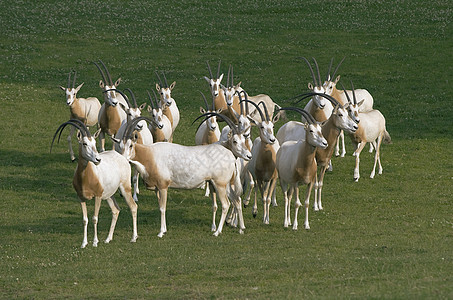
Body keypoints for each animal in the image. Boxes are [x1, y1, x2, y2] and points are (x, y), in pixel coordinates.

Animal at [50, 118, 137, 247]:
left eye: (95, 143)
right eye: (84, 143)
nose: (98, 159)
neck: (87, 177)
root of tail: (121, 157)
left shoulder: (97, 196)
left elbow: (95, 218)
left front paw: (95, 242)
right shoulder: (81, 198)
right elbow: (85, 219)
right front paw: (84, 243)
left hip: (124, 189)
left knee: (133, 207)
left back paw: (133, 238)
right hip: (108, 195)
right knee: (116, 210)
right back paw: (108, 239)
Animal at [117, 114, 251, 237]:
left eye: (130, 145)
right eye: (120, 146)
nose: (122, 159)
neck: (150, 154)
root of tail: (230, 156)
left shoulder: (163, 187)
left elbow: (162, 208)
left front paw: (161, 232)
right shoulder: (156, 189)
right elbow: (160, 206)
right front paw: (164, 229)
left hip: (220, 184)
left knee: (226, 204)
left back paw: (217, 231)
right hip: (225, 184)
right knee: (236, 200)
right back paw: (241, 229)